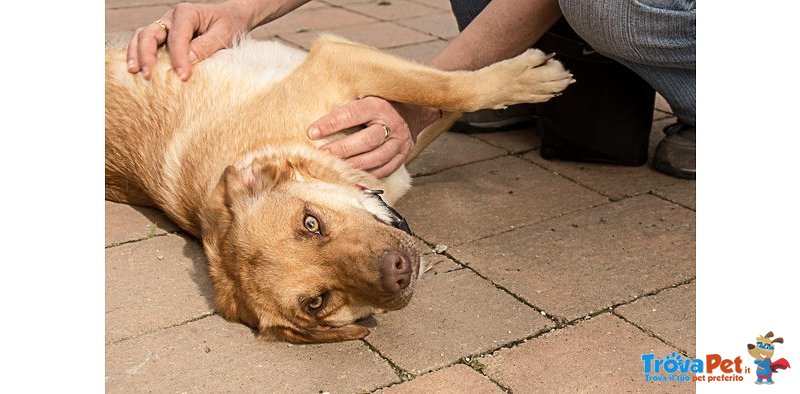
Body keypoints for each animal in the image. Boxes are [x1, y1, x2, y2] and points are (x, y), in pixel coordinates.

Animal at [106, 34, 572, 342]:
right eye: (318, 303)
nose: (397, 271)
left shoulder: (338, 61)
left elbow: (443, 89)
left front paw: (521, 80)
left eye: (310, 223)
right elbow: (442, 96)